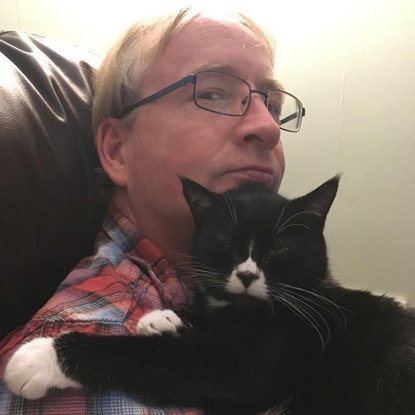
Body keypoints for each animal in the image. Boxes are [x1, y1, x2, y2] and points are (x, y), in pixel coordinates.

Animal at [4, 177, 415, 414]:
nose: (247, 274)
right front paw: (164, 319)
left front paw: (42, 357)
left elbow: (158, 358)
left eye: (279, 247)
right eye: (224, 240)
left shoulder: (259, 362)